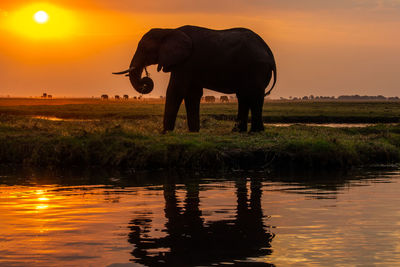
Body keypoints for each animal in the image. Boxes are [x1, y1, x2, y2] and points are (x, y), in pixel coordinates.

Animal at [111, 25, 276, 132]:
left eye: (144, 49)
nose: (146, 80)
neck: (168, 30)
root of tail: (268, 50)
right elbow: (192, 94)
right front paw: (194, 132)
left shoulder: (186, 62)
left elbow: (176, 90)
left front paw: (165, 132)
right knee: (243, 96)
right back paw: (239, 131)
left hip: (256, 67)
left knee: (253, 95)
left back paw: (255, 131)